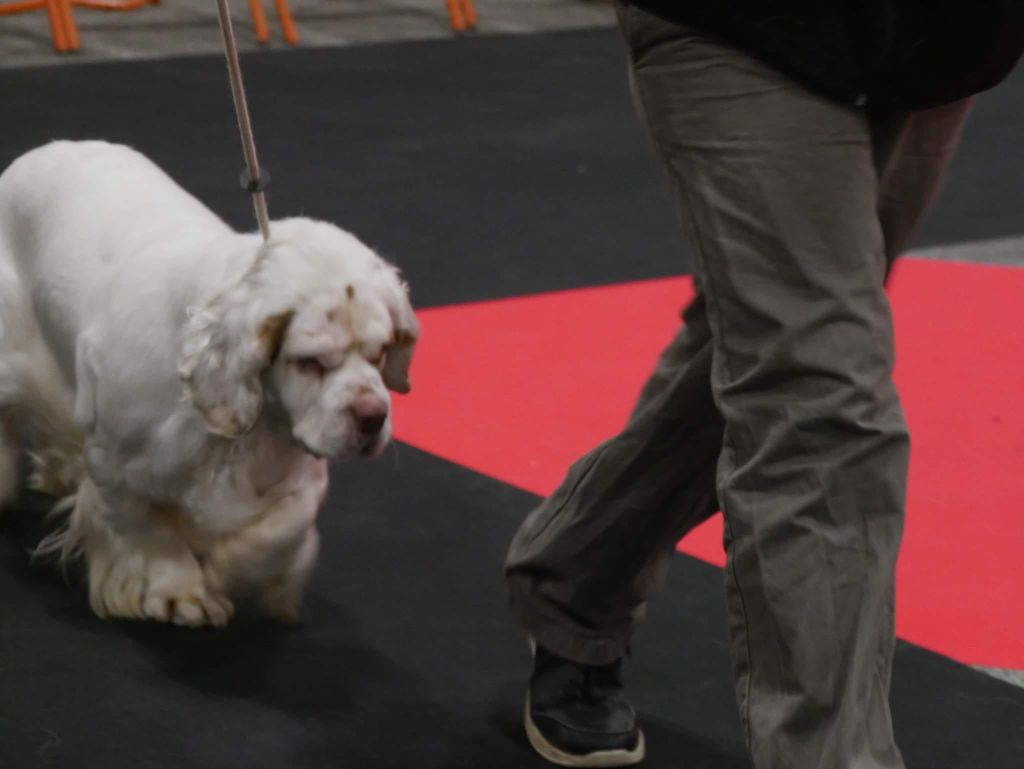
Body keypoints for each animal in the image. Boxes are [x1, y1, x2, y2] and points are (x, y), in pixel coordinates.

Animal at [0, 141, 419, 626]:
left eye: (380, 352)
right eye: (310, 361)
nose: (373, 417)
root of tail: (42, 150)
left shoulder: (297, 468)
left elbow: (284, 526)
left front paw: (234, 568)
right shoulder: (113, 463)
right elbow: (150, 531)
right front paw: (179, 592)